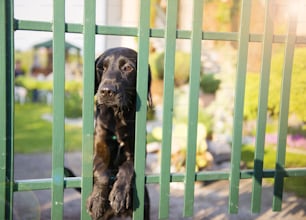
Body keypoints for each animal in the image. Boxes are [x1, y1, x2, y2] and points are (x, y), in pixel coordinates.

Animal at [86, 47, 151, 219]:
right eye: (101, 68)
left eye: (127, 68)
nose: (106, 91)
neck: (118, 116)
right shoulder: (99, 148)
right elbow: (102, 172)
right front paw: (97, 200)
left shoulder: (137, 153)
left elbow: (128, 166)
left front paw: (119, 194)